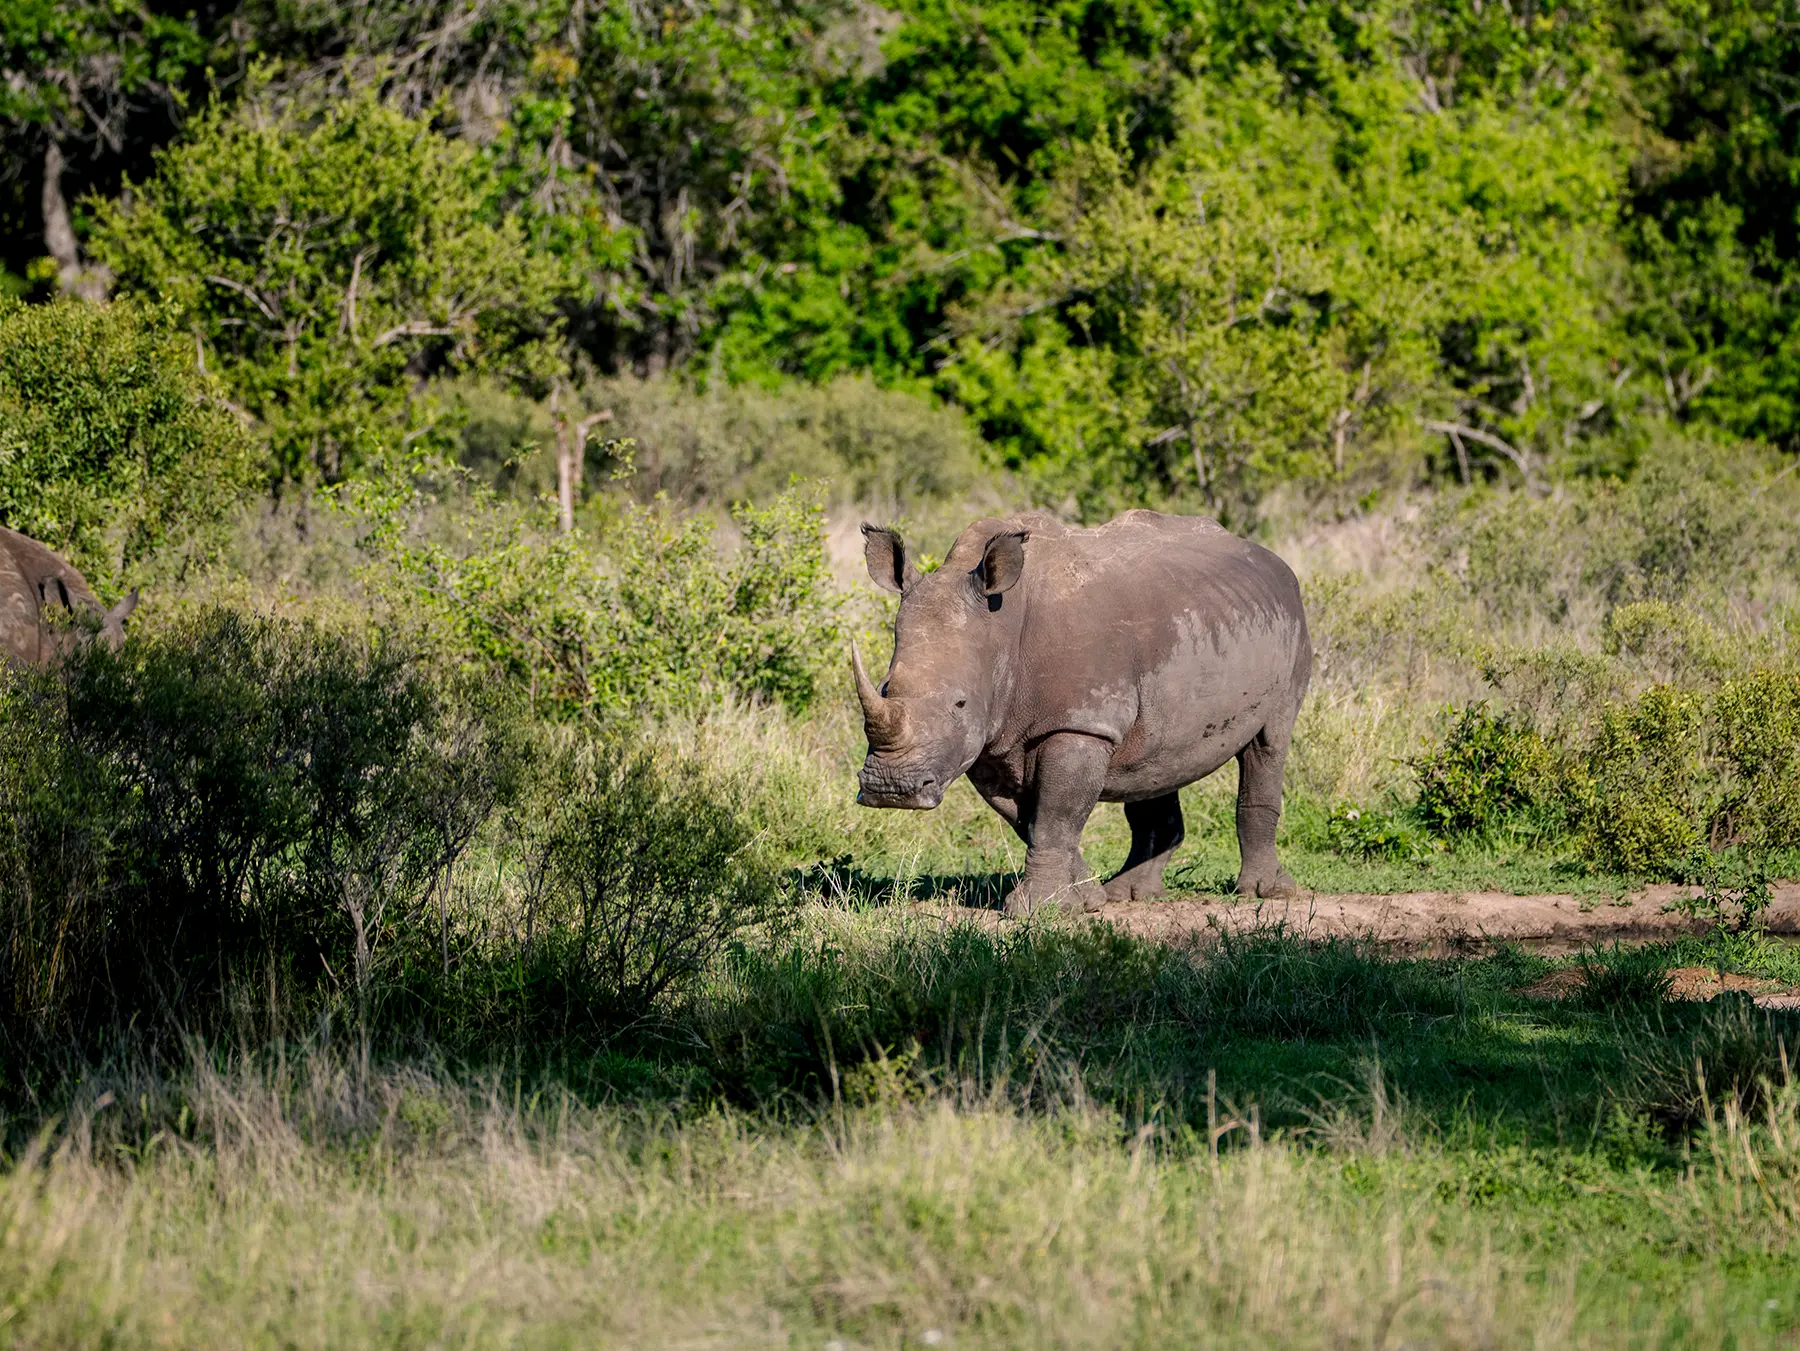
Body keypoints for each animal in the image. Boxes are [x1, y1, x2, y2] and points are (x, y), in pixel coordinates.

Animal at [852, 509, 1311, 916]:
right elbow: (1031, 820)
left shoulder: (1081, 722)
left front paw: (1040, 910)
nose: (891, 788)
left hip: (1291, 623)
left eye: (960, 703)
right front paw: (1088, 898)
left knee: (1269, 741)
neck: (1002, 627)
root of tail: (1273, 560)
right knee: (1154, 760)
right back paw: (1130, 894)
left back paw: (1266, 893)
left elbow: (1055, 814)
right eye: (885, 688)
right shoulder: (991, 738)